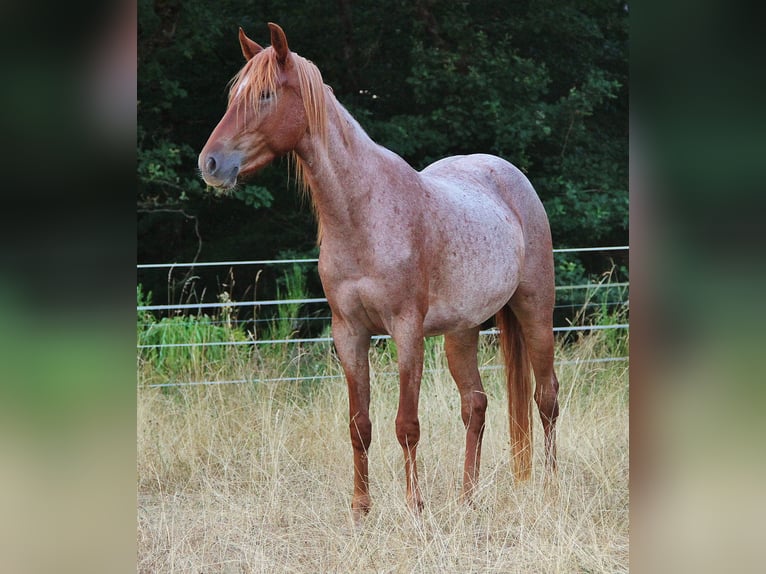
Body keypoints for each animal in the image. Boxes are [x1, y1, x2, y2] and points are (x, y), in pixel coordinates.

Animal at [199, 23, 560, 522]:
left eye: (266, 95)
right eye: (235, 95)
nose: (210, 164)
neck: (362, 214)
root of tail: (510, 175)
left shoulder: (405, 330)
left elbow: (406, 424)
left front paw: (415, 507)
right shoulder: (349, 332)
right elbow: (359, 425)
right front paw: (361, 509)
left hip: (534, 310)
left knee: (546, 397)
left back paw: (553, 489)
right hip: (461, 332)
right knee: (476, 404)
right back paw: (467, 499)